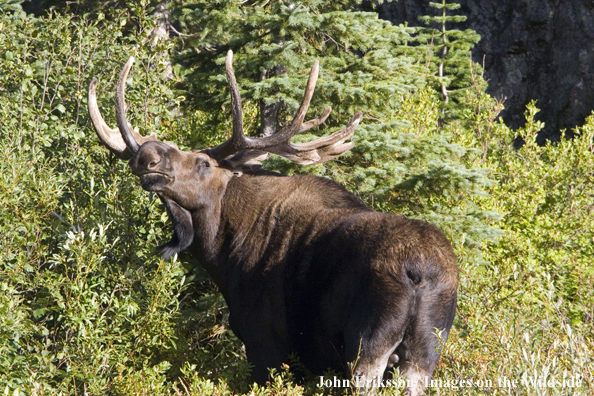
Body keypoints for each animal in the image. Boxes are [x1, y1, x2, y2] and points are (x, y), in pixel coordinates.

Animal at [88, 51, 458, 394]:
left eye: (204, 163)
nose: (148, 153)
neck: (224, 251)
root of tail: (418, 271)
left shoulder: (263, 341)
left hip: (367, 342)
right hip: (424, 351)